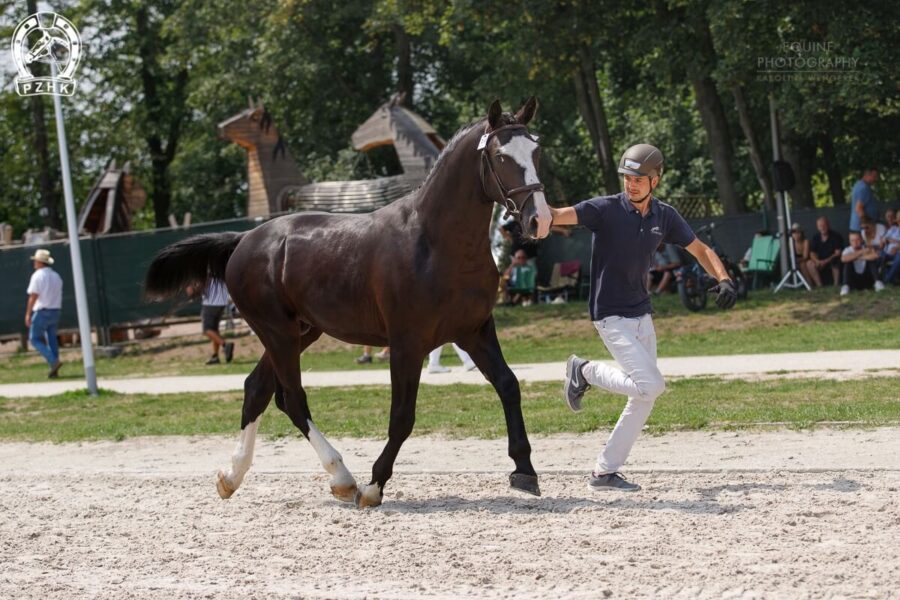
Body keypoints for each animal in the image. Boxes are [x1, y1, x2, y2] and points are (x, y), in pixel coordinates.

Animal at [145, 97, 552, 506]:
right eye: (501, 156)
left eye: (536, 150)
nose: (540, 220)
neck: (436, 243)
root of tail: (244, 240)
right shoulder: (407, 343)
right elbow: (402, 416)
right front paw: (374, 485)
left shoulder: (474, 330)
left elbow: (508, 385)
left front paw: (525, 472)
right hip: (277, 332)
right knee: (291, 398)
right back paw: (342, 478)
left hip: (299, 332)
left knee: (257, 389)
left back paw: (231, 476)